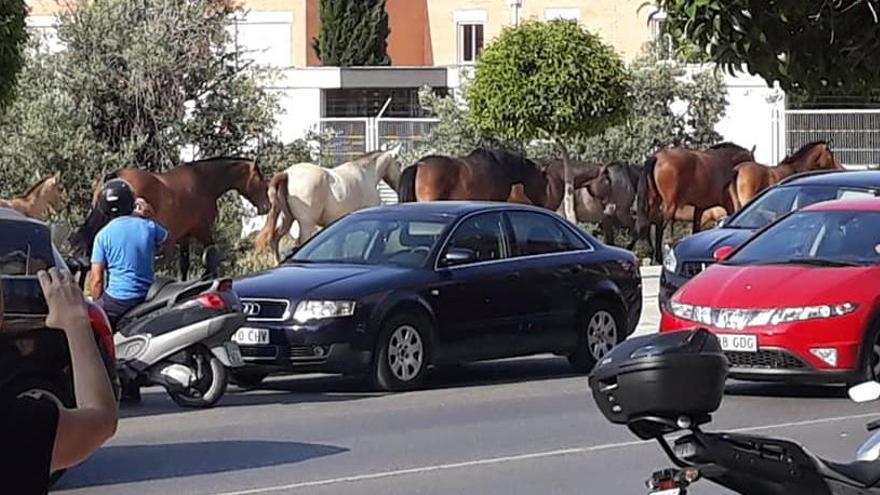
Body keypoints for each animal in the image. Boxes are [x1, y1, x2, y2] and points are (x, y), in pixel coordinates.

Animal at [71, 159, 268, 282]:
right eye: (260, 180)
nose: (266, 206)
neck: (202, 182)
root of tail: (115, 175)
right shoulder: (202, 231)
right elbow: (211, 257)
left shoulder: (185, 236)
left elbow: (184, 264)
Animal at [256, 145, 404, 262]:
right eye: (399, 164)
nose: (399, 185)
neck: (365, 173)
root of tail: (287, 174)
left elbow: (338, 244)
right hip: (306, 224)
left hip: (287, 219)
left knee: (274, 240)